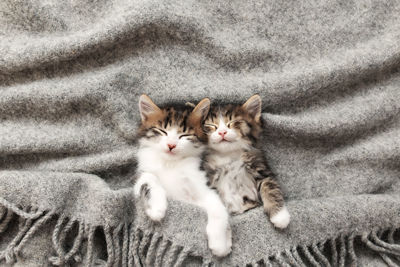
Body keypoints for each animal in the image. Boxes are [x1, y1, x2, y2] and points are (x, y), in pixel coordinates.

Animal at [134, 96, 233, 258]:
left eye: (184, 135)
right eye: (162, 131)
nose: (171, 145)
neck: (171, 163)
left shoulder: (203, 184)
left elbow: (218, 208)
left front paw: (220, 244)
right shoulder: (142, 173)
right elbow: (149, 179)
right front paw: (156, 208)